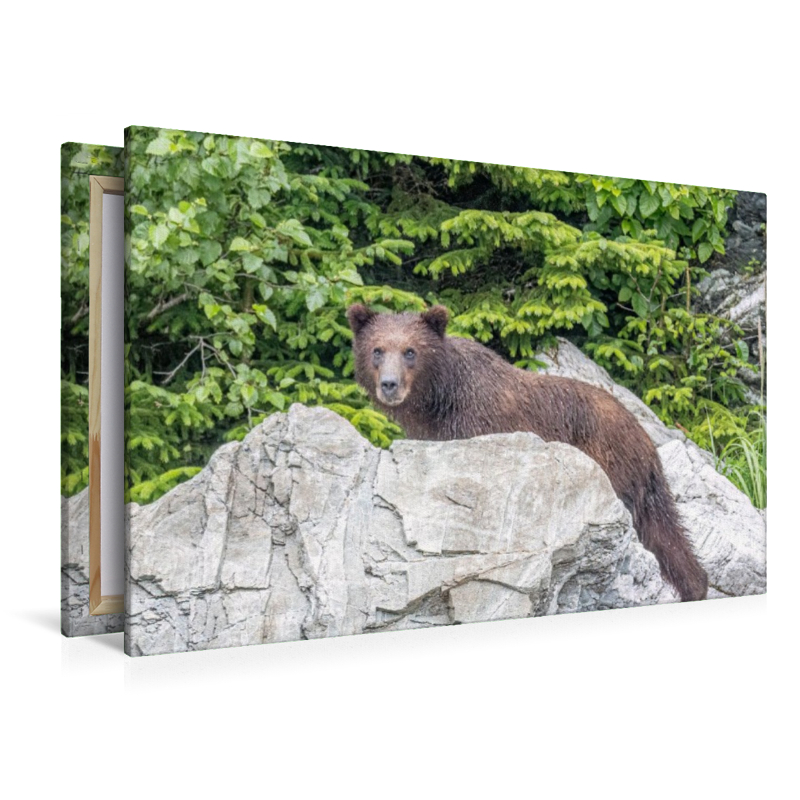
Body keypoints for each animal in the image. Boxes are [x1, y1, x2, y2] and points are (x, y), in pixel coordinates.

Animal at [347, 303, 708, 603]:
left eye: (410, 351)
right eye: (377, 350)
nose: (389, 384)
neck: (438, 400)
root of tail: (645, 439)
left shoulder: (477, 424)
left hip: (609, 464)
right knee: (665, 535)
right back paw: (695, 585)